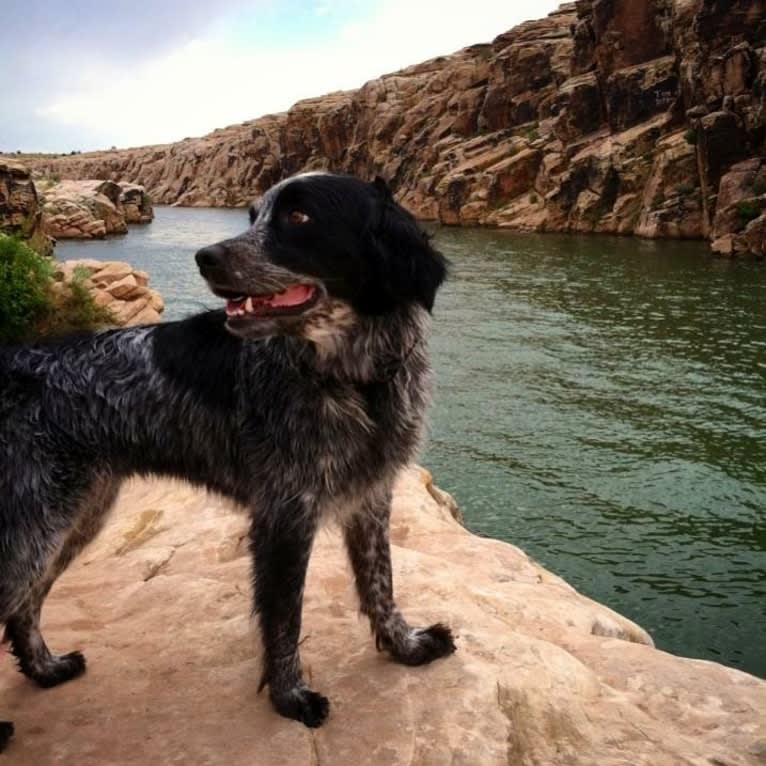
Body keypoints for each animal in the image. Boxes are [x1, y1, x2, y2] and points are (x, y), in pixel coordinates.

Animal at [0, 171, 456, 748]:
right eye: (253, 216)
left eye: (299, 217)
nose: (205, 257)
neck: (355, 380)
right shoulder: (285, 513)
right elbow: (284, 618)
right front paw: (290, 700)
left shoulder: (370, 496)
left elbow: (381, 585)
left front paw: (406, 647)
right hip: (35, 524)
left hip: (71, 516)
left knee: (24, 608)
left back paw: (46, 670)